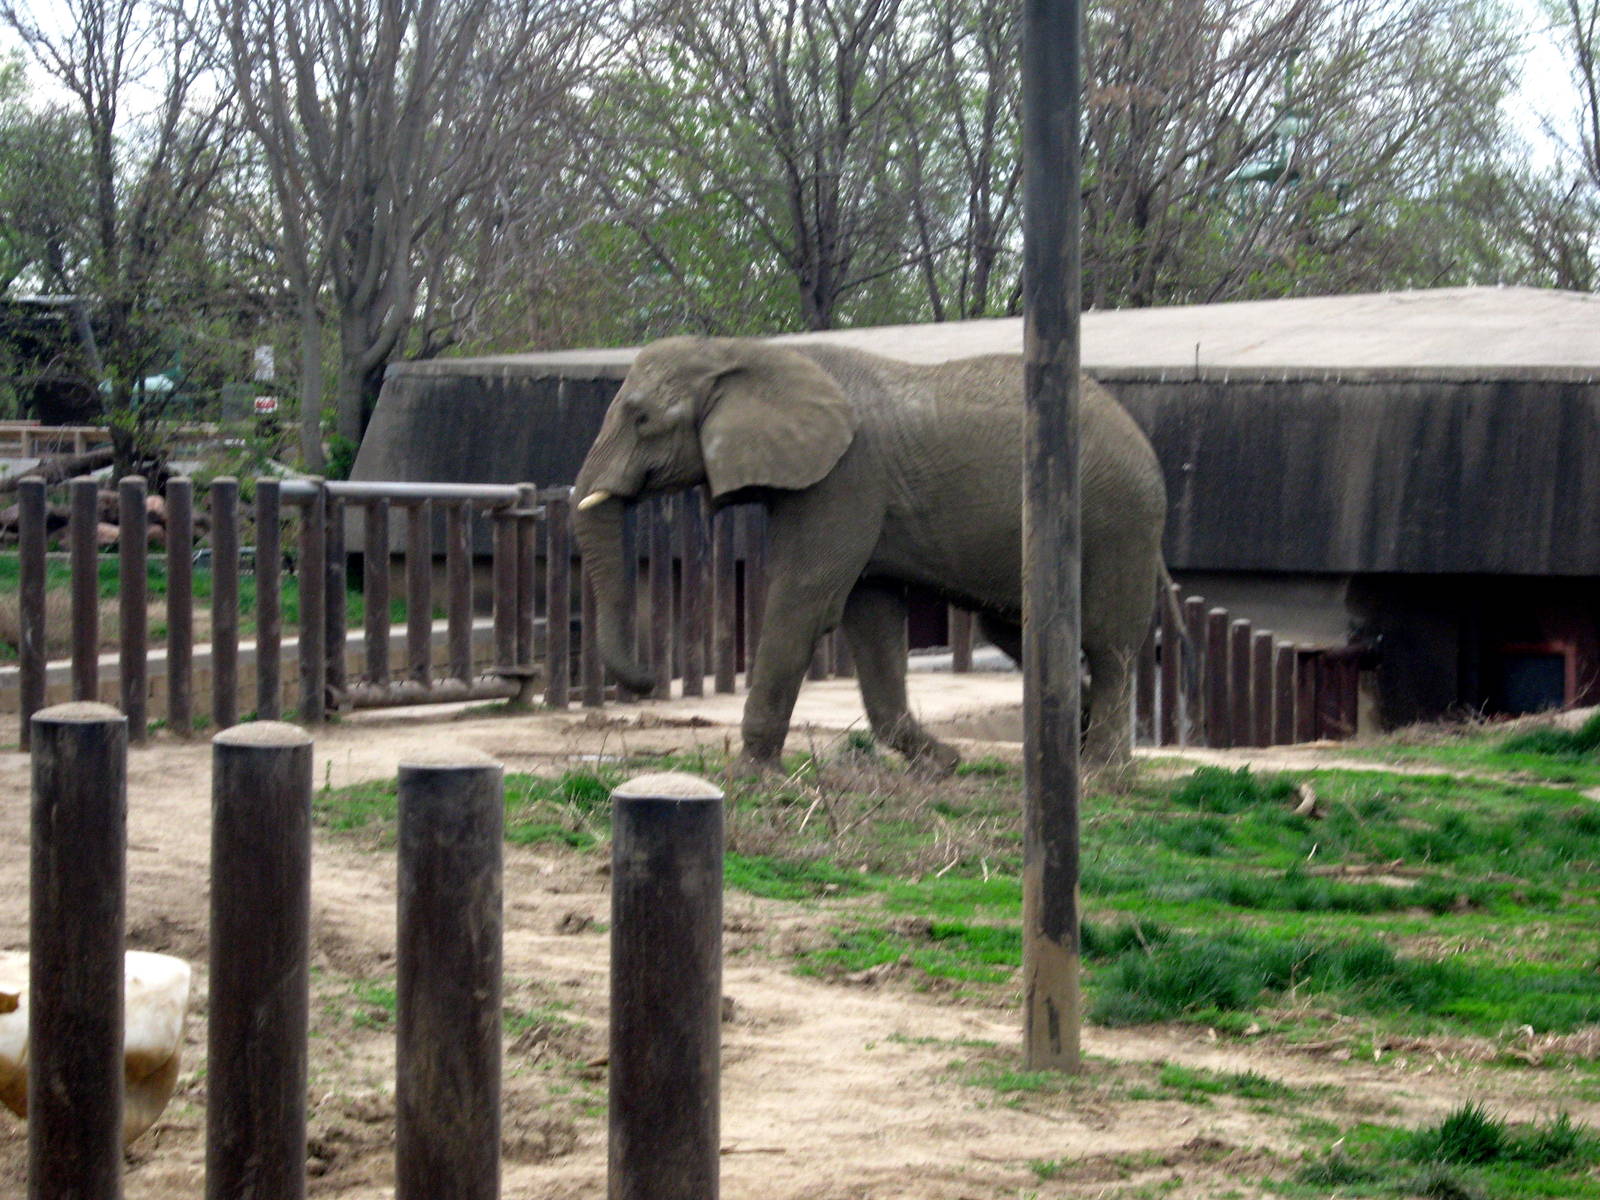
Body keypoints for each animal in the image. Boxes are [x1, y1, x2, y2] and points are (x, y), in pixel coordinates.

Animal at [572, 335, 1172, 774]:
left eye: (642, 418)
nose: (650, 677)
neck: (744, 351)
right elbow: (870, 616)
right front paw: (941, 765)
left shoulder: (845, 476)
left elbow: (804, 602)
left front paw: (750, 776)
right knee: (1020, 633)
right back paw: (1072, 744)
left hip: (1118, 523)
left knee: (1109, 645)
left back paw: (1101, 775)